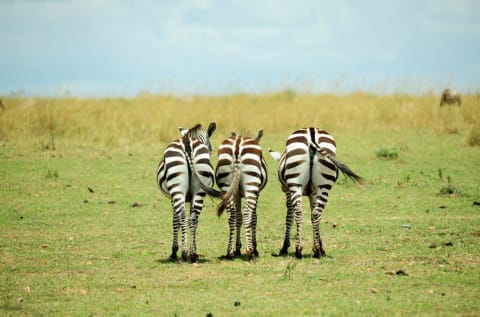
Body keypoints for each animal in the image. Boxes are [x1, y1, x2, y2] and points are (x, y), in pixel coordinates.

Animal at [156, 121, 221, 262]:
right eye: (211, 149)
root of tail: (188, 143)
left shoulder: (172, 198)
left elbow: (175, 221)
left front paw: (174, 251)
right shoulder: (191, 197)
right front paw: (193, 249)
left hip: (177, 190)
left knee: (182, 217)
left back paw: (184, 253)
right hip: (199, 191)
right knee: (193, 219)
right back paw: (193, 254)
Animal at [216, 128, 268, 260]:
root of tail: (238, 144)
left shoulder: (236, 194)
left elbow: (238, 217)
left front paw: (237, 249)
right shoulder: (257, 193)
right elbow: (254, 218)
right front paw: (255, 248)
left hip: (226, 184)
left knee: (231, 215)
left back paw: (229, 251)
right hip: (251, 185)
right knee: (247, 213)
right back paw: (251, 252)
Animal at [268, 127, 362, 258]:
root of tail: (312, 134)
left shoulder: (288, 191)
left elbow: (289, 216)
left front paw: (284, 247)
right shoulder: (313, 193)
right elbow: (313, 215)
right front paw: (319, 246)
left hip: (295, 184)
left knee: (299, 213)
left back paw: (298, 249)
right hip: (323, 186)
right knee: (316, 213)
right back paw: (318, 251)